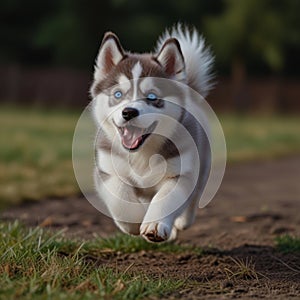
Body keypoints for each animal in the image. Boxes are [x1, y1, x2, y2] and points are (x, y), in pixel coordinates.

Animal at [91, 24, 213, 243]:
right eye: (118, 94)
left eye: (152, 97)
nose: (129, 112)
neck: (142, 153)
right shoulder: (108, 170)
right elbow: (119, 197)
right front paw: (133, 221)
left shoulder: (180, 171)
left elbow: (166, 199)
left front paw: (154, 225)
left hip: (202, 165)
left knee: (193, 199)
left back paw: (181, 222)